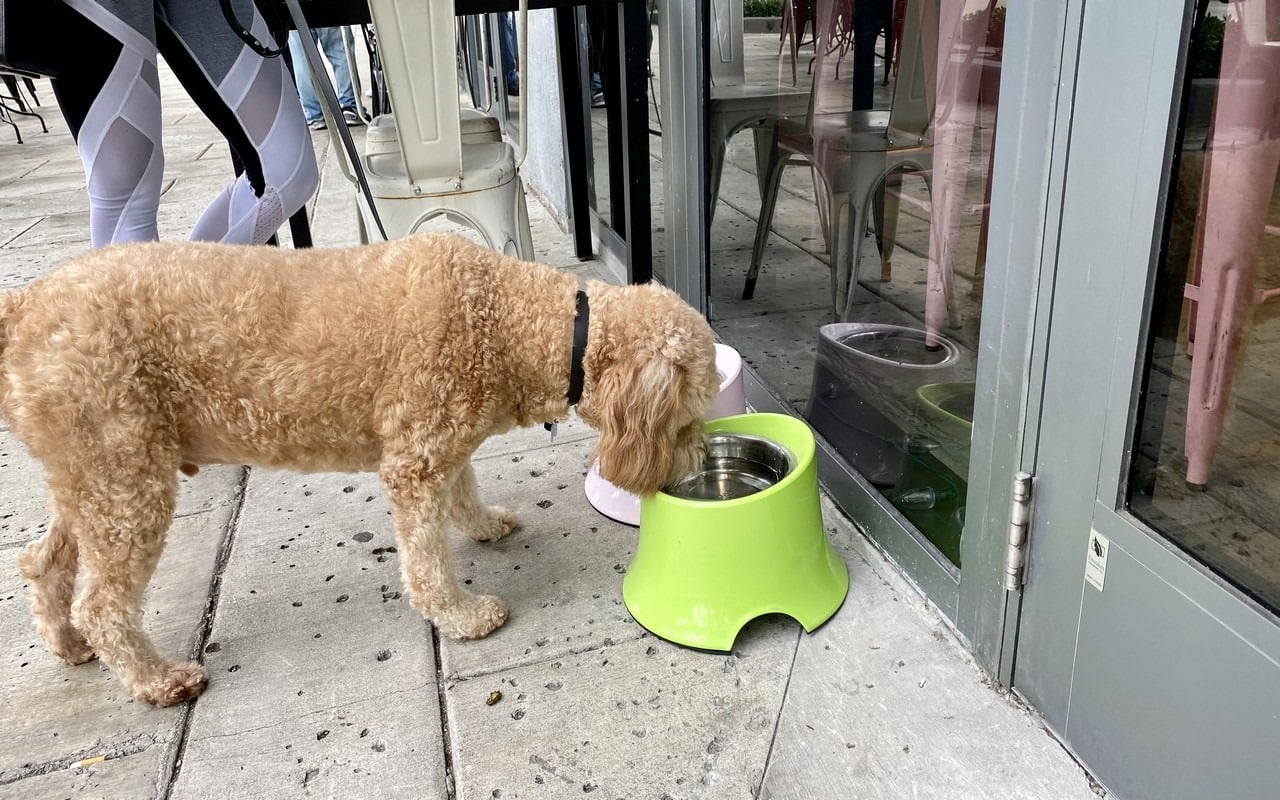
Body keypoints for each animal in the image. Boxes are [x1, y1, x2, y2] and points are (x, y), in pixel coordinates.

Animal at [0, 232, 721, 706]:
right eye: (687, 421)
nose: (694, 463)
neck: (516, 323)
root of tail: (23, 306)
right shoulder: (416, 460)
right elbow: (426, 561)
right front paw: (460, 616)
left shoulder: (442, 439)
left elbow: (465, 490)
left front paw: (484, 524)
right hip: (127, 481)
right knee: (103, 602)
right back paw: (157, 679)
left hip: (98, 476)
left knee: (43, 559)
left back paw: (66, 641)